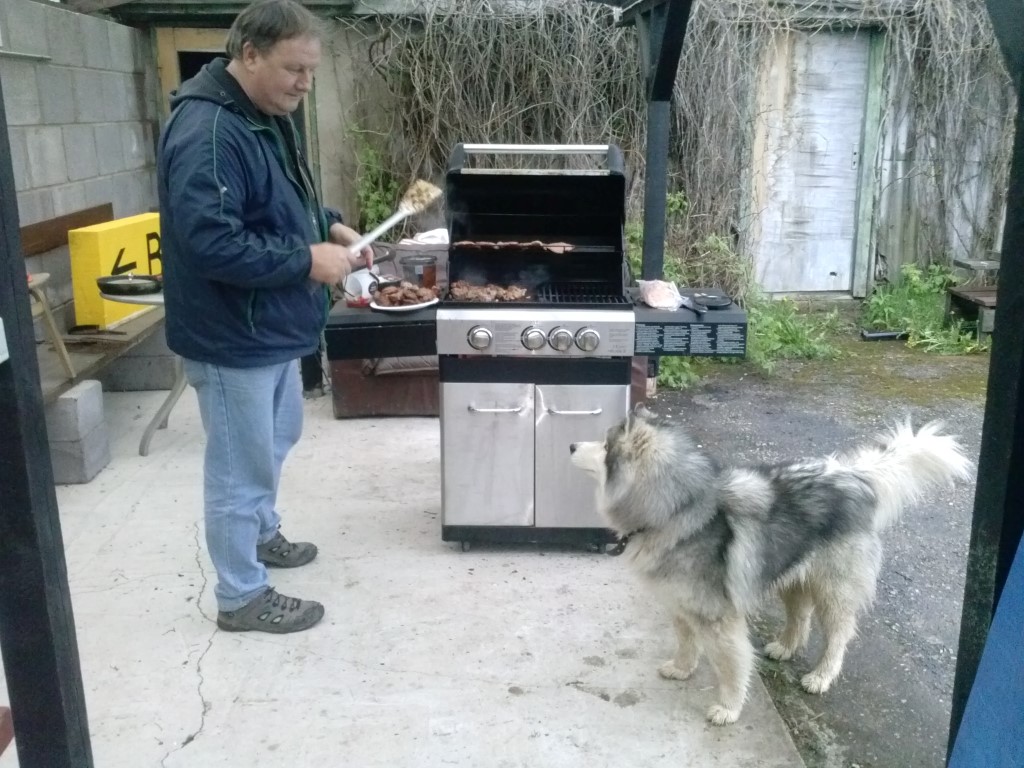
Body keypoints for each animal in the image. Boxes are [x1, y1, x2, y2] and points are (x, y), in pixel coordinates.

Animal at [573, 411, 970, 724]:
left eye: (605, 446)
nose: (572, 446)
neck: (676, 509)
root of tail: (854, 476)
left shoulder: (719, 621)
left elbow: (731, 666)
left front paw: (729, 708)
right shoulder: (681, 606)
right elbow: (686, 642)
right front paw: (683, 669)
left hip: (834, 591)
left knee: (839, 635)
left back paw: (821, 676)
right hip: (793, 576)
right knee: (800, 615)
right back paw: (785, 646)